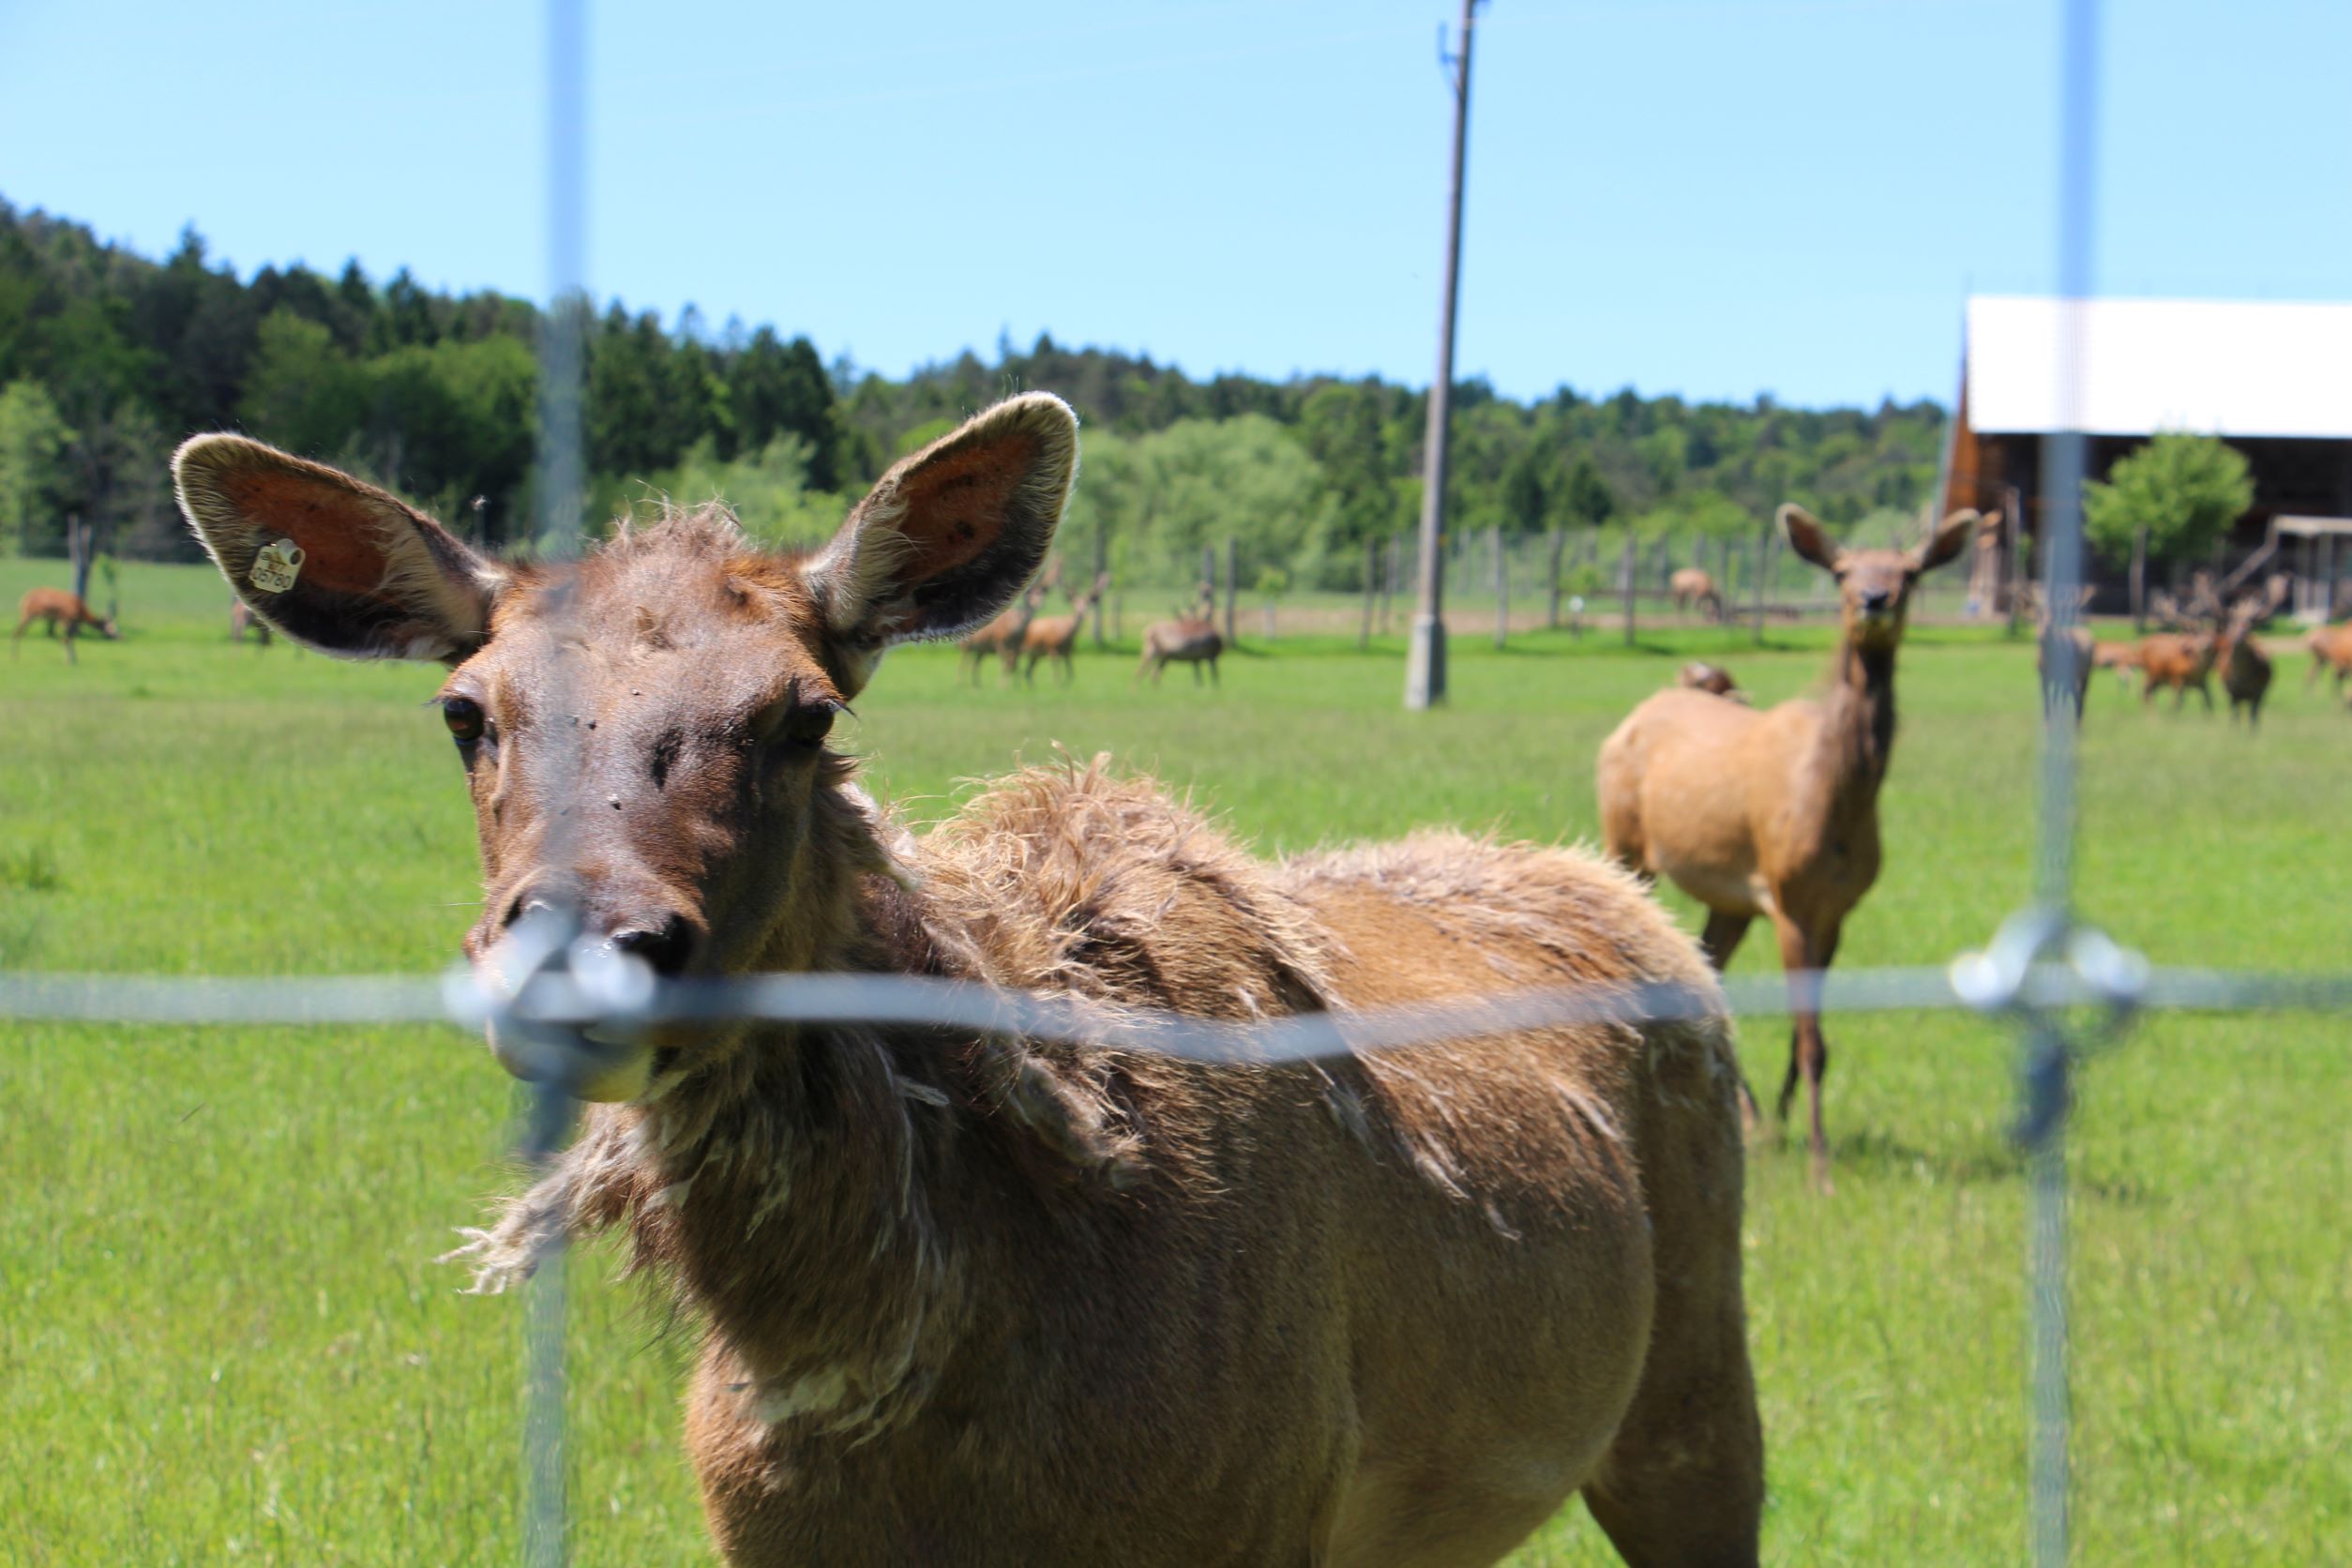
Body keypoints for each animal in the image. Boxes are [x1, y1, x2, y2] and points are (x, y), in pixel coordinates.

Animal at [173, 392, 1769, 1568]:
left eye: (804, 713)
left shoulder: (1258, 1514)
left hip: (1695, 1393)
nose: (584, 951)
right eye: (466, 712)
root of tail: (1620, 897)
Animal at [1599, 503, 1966, 1189]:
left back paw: (1744, 1113)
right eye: (1843, 571)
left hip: (1731, 897)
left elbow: (1809, 1033)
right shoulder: (1789, 898)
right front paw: (1819, 1162)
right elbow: (1812, 1038)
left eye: (1909, 571)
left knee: (1709, 969)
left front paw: (1784, 1120)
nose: (1875, 600)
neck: (1836, 806)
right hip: (1626, 842)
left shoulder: (1838, 910)